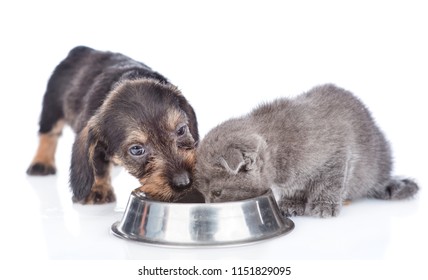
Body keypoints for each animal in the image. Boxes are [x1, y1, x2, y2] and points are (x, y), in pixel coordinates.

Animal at [27, 46, 201, 203]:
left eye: (181, 130)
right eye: (136, 150)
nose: (184, 182)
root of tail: (80, 49)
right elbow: (98, 165)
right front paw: (98, 188)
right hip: (51, 109)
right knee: (48, 134)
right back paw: (41, 162)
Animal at [193, 84, 418, 218]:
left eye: (217, 192)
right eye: (202, 192)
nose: (207, 205)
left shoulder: (337, 156)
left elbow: (329, 185)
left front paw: (324, 206)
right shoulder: (292, 178)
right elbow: (295, 188)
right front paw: (291, 204)